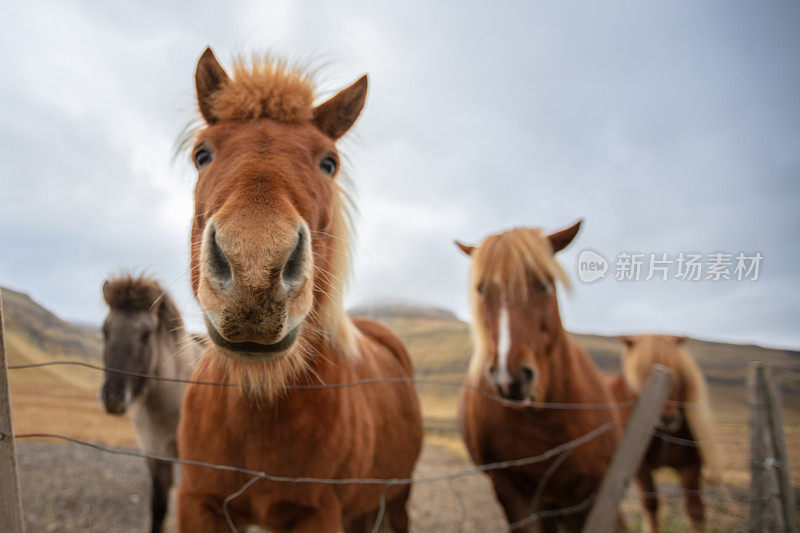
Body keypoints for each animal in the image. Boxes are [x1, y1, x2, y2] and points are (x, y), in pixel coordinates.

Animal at [176, 47, 424, 528]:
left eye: (329, 163)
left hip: (396, 500)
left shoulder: (317, 513)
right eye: (202, 154)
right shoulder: (198, 501)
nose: (255, 271)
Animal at [454, 221, 620, 532]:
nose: (509, 377)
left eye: (544, 284)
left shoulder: (585, 496)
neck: (547, 420)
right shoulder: (513, 495)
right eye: (482, 290)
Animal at [608, 334, 720, 528]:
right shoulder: (640, 467)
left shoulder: (691, 466)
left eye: (676, 373)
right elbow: (650, 505)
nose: (667, 418)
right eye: (640, 376)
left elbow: (695, 509)